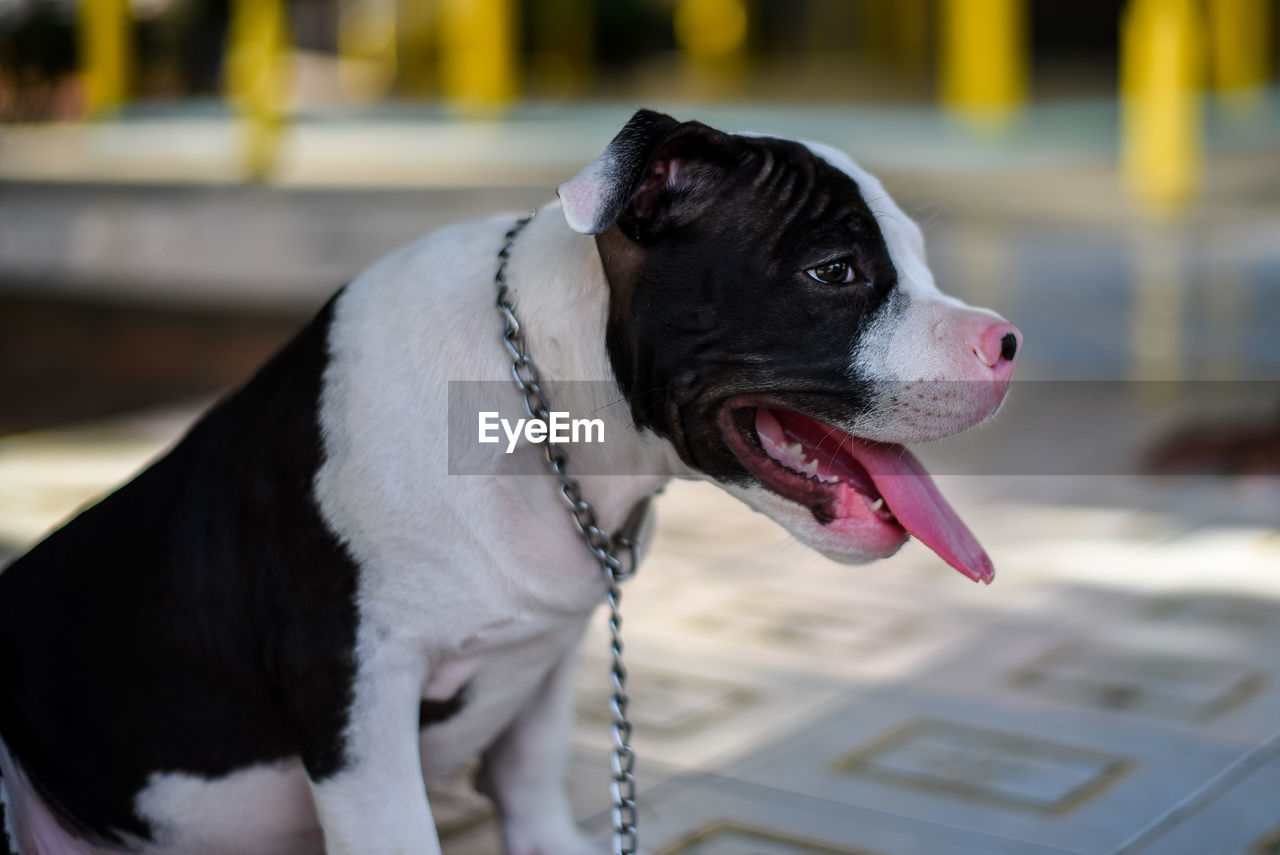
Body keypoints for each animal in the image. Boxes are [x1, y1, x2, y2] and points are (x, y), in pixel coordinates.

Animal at [0, 113, 1018, 855]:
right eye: (834, 271)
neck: (546, 417)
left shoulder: (548, 648)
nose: (1007, 340)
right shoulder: (356, 697)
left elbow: (530, 779)